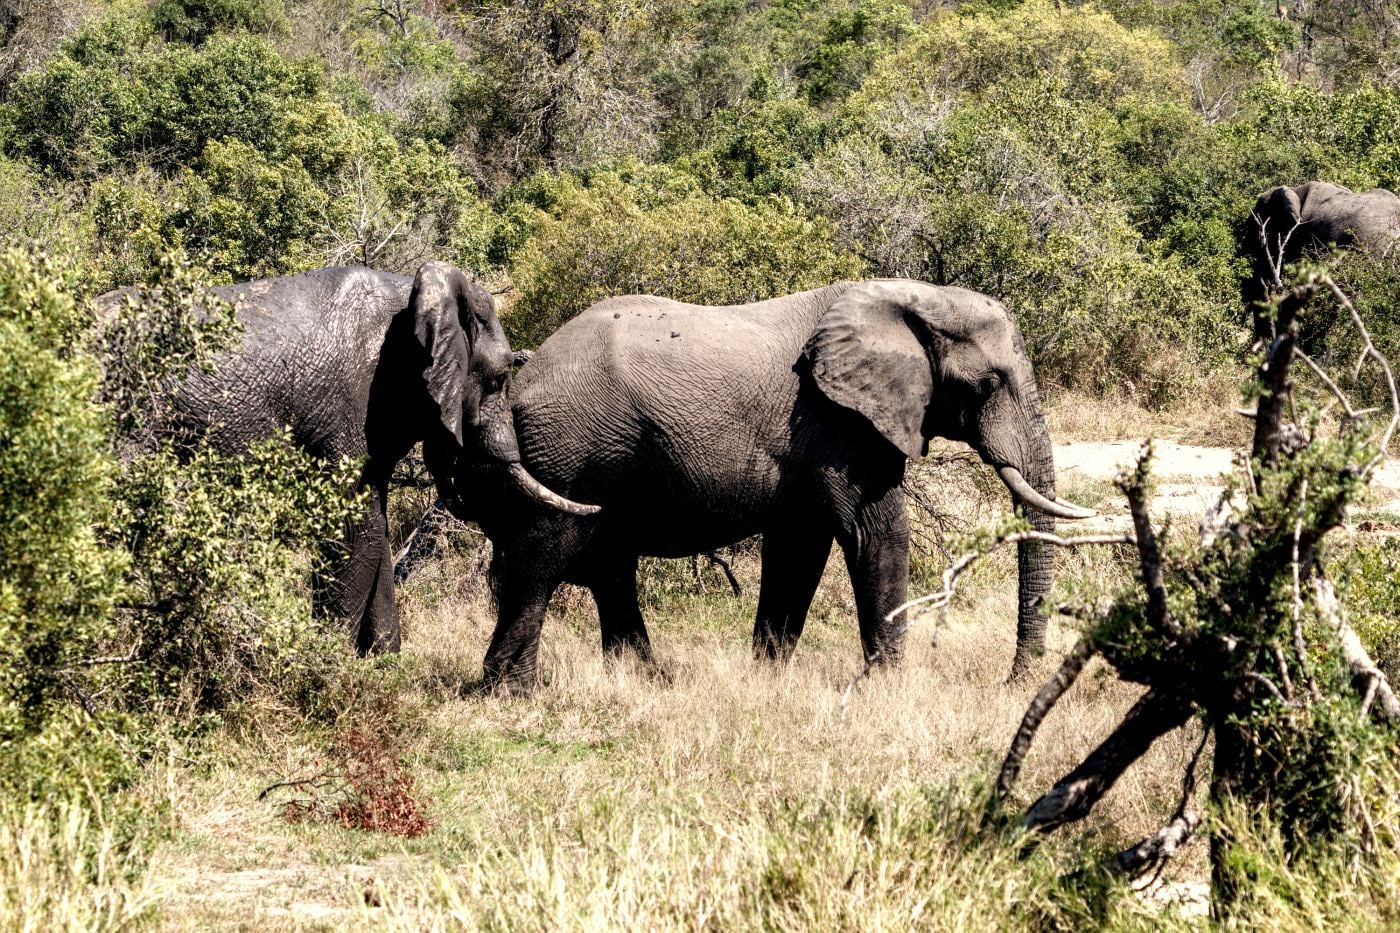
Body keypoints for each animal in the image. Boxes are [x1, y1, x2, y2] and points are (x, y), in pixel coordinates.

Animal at [99, 262, 597, 655]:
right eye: (497, 381)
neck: (414, 298)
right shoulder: (350, 402)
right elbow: (354, 524)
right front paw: (327, 661)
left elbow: (376, 528)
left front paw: (382, 662)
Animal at [455, 278, 1094, 693]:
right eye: (987, 384)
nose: (1013, 682)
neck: (912, 298)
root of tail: (516, 383)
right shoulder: (840, 424)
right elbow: (875, 534)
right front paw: (887, 688)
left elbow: (799, 550)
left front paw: (765, 679)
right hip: (570, 451)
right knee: (544, 559)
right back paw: (512, 692)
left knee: (609, 567)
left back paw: (647, 681)